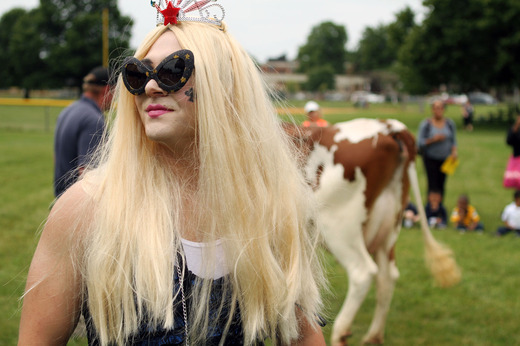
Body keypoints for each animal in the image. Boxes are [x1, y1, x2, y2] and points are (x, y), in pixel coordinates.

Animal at [292, 119, 460, 346]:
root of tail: (387, 126)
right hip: (389, 229)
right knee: (387, 276)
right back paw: (373, 336)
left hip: (338, 227)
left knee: (363, 272)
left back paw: (341, 331)